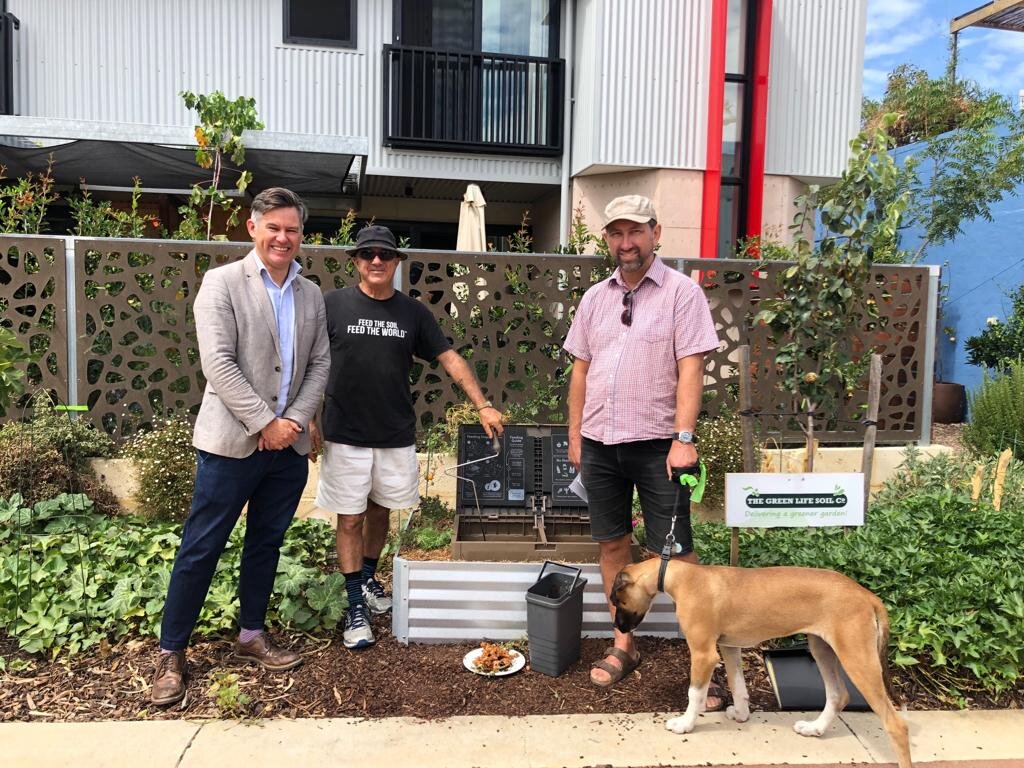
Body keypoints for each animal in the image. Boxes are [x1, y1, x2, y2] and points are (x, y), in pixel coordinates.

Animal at [606, 561, 913, 768]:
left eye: (617, 600)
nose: (617, 627)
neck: (683, 574)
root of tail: (866, 594)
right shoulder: (729, 647)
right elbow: (737, 684)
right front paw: (741, 714)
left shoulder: (704, 654)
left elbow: (695, 693)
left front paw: (685, 724)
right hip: (822, 648)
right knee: (839, 695)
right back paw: (814, 729)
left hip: (856, 657)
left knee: (896, 725)